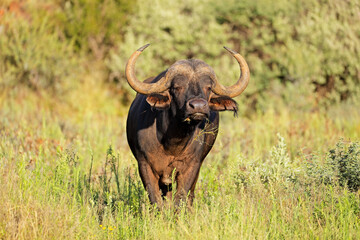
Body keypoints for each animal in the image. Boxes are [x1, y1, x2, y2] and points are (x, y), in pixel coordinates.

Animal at [125, 44, 249, 206]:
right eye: (177, 87)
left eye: (208, 87)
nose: (198, 106)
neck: (171, 143)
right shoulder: (145, 166)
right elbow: (155, 200)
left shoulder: (191, 167)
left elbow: (181, 198)